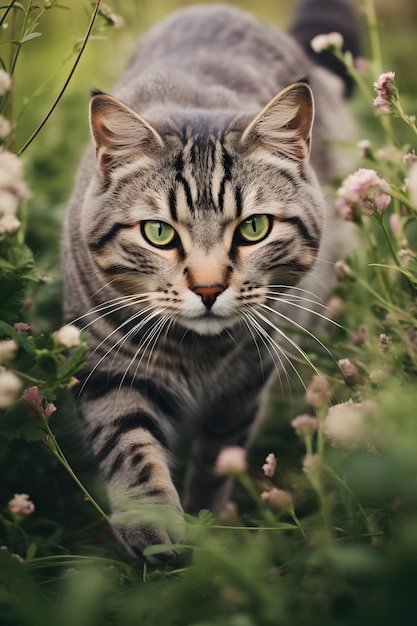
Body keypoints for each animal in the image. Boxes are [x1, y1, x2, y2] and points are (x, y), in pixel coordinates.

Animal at [61, 1, 358, 560]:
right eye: (158, 233)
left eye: (253, 228)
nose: (207, 289)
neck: (196, 354)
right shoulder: (108, 368)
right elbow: (129, 446)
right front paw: (155, 530)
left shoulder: (245, 383)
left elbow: (219, 457)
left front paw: (210, 526)